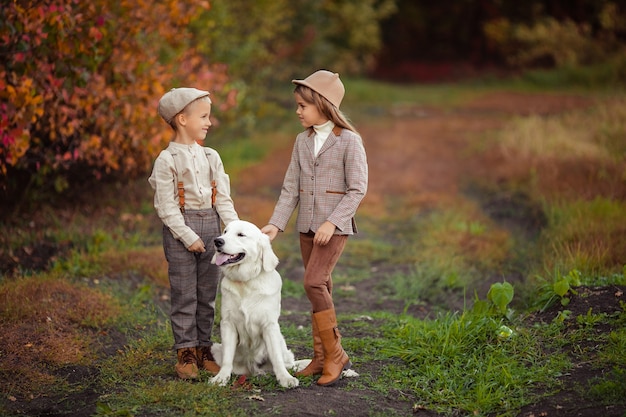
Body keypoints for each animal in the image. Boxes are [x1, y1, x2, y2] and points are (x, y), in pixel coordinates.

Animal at [208, 219, 298, 388]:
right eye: (225, 232)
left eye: (241, 234)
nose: (217, 241)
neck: (246, 282)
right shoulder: (228, 324)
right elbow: (227, 358)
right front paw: (221, 378)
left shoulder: (270, 325)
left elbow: (276, 358)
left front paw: (285, 378)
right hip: (216, 348)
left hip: (282, 343)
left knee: (289, 363)